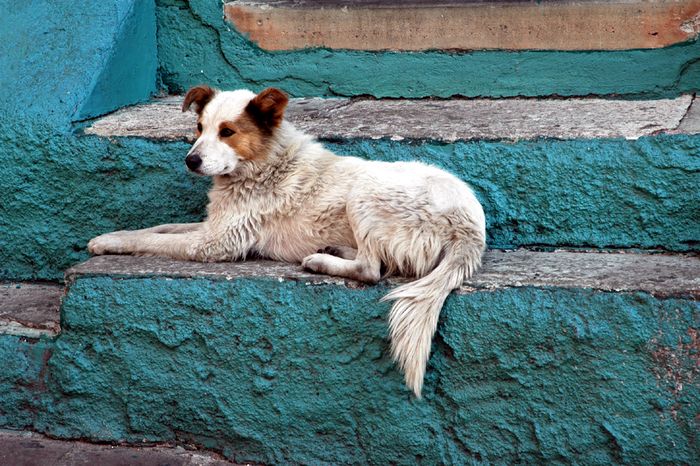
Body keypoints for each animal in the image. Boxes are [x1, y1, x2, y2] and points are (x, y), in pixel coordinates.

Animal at [89, 85, 486, 396]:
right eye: (199, 128)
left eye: (227, 132)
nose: (191, 160)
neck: (264, 165)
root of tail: (470, 229)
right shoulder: (212, 226)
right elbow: (159, 228)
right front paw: (110, 235)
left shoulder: (217, 243)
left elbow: (154, 242)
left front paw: (110, 242)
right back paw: (333, 248)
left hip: (365, 192)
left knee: (372, 269)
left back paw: (321, 261)